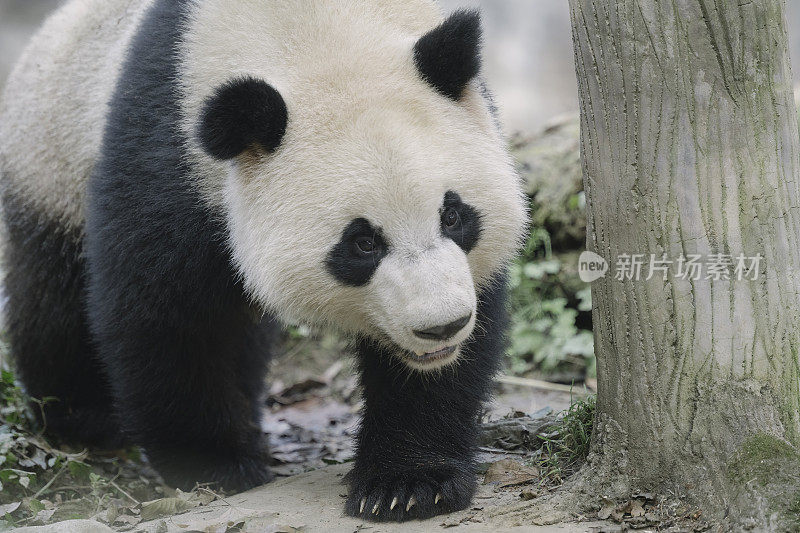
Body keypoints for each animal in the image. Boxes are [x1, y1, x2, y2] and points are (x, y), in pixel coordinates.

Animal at [0, 0, 524, 520]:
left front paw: (409, 483)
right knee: (55, 302)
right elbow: (170, 315)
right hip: (51, 165)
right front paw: (217, 464)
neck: (315, 37)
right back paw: (84, 420)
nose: (442, 326)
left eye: (453, 215)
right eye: (362, 243)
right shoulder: (169, 149)